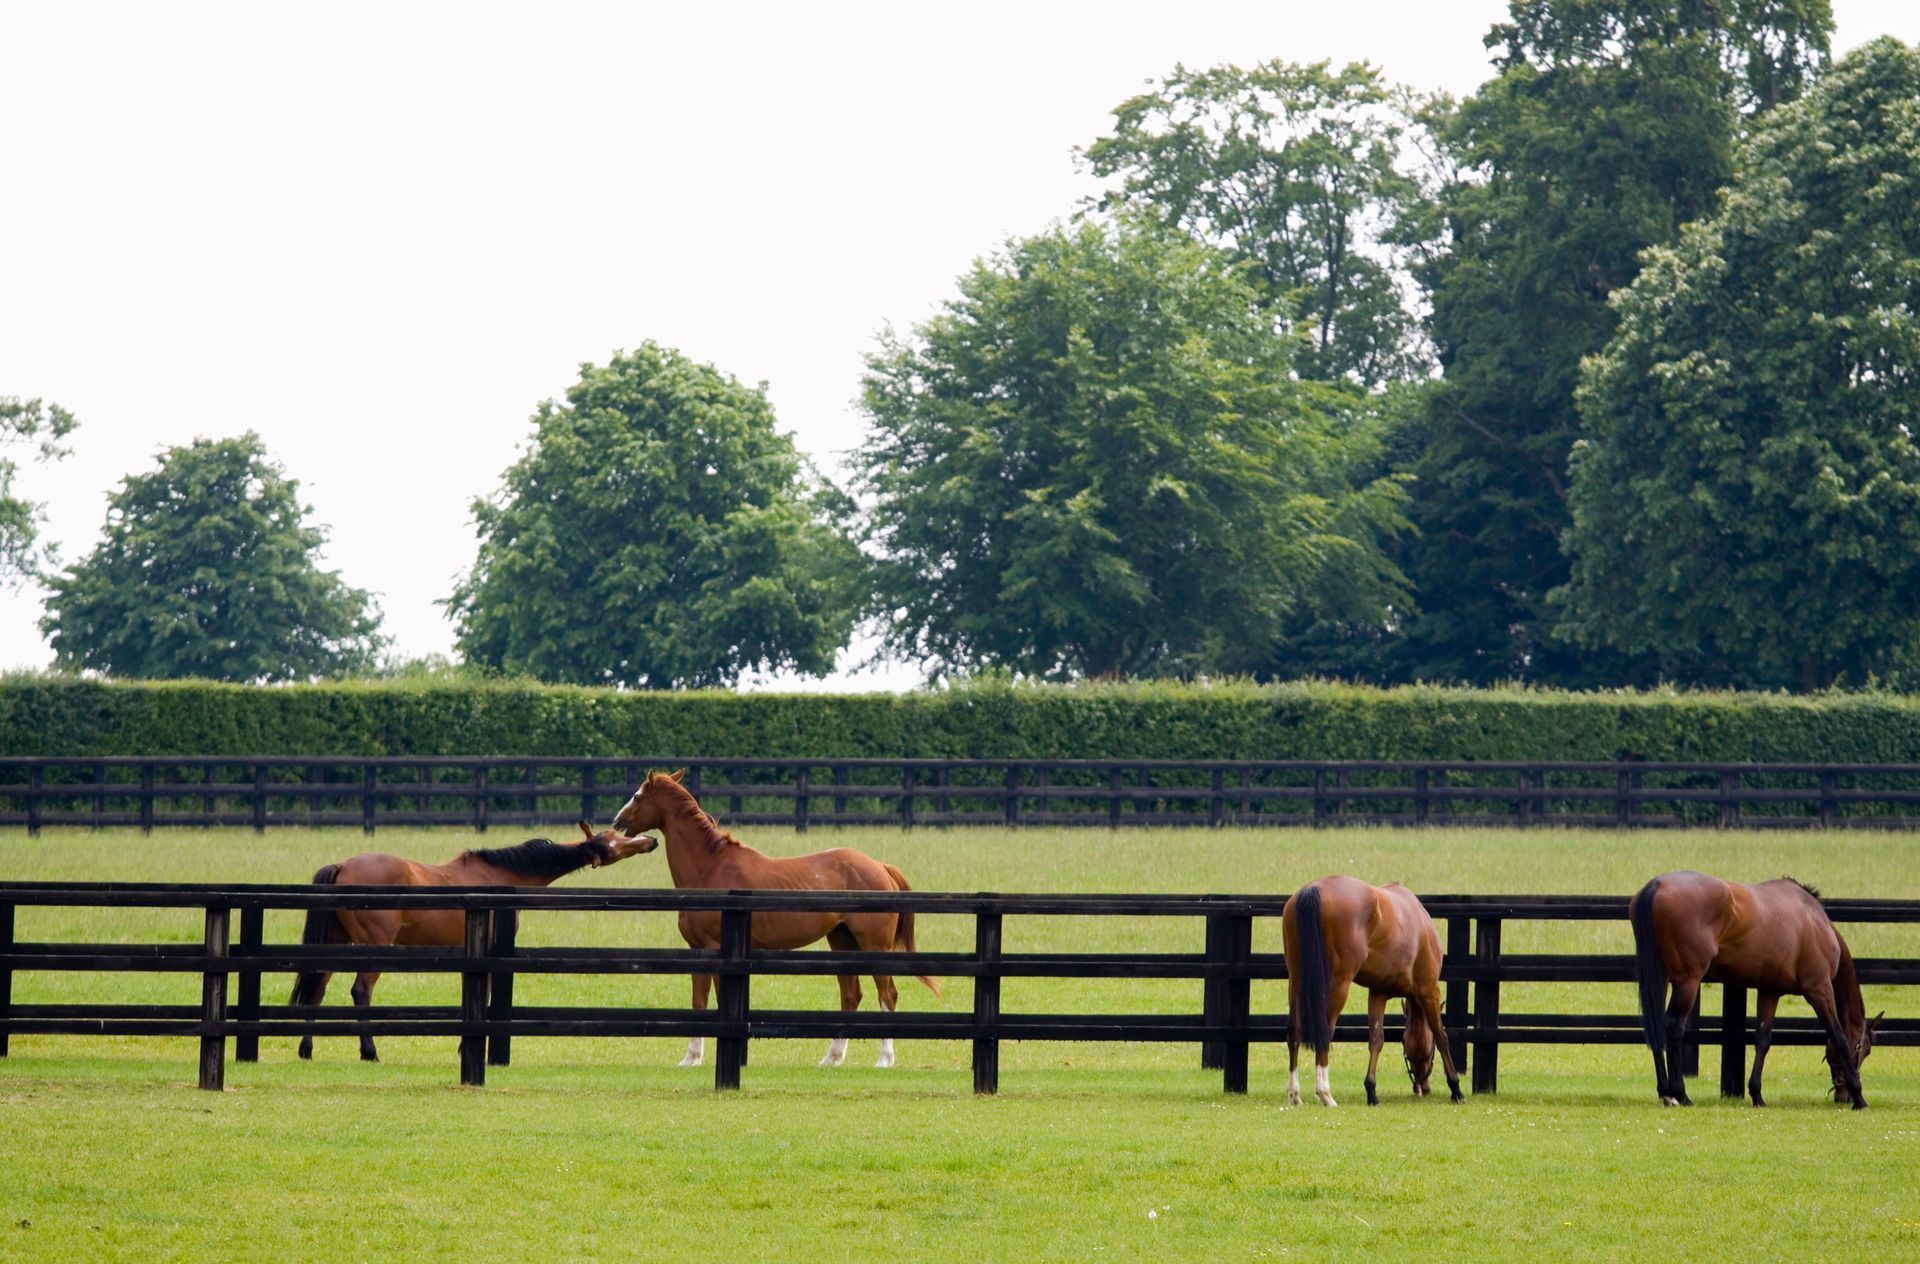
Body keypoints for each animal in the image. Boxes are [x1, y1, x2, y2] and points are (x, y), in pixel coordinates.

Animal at [289, 821, 656, 1061]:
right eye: (613, 843)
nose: (650, 841)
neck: (499, 875)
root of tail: (342, 866)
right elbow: (490, 998)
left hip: (336, 944)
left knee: (316, 989)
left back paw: (307, 1049)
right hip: (373, 948)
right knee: (360, 992)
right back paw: (369, 1051)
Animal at [610, 770, 939, 1069]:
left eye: (638, 796)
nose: (617, 821)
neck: (710, 867)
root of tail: (880, 867)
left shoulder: (715, 949)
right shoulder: (698, 950)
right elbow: (698, 1002)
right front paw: (691, 1058)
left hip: (874, 946)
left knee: (887, 994)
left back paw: (884, 1059)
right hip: (842, 942)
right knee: (850, 995)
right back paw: (831, 1058)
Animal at [1283, 875, 1464, 1107]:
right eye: (1424, 1053)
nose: (1422, 1087)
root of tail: (1314, 888)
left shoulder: (1378, 993)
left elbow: (1376, 1040)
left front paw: (1371, 1091)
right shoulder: (1428, 990)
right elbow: (1441, 1035)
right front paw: (1456, 1088)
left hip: (1296, 979)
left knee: (1294, 1031)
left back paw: (1294, 1094)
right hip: (1338, 983)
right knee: (1325, 1031)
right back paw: (1325, 1094)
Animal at [1629, 871, 1882, 1109]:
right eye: (1864, 1049)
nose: (1842, 1095)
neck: (1814, 920)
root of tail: (1657, 885)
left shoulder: (1769, 991)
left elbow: (1762, 1040)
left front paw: (1757, 1094)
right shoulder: (1819, 989)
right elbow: (1838, 1036)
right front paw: (1860, 1098)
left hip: (1661, 977)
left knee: (1657, 1027)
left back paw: (1665, 1092)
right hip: (1688, 981)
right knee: (1673, 1027)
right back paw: (1679, 1094)